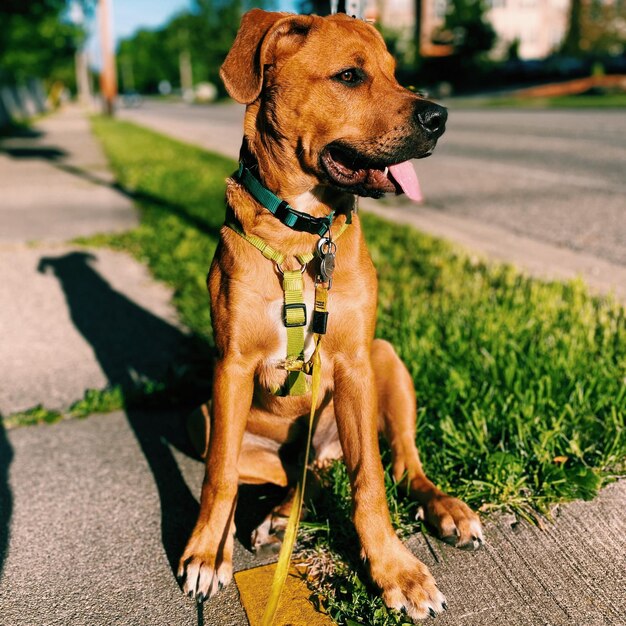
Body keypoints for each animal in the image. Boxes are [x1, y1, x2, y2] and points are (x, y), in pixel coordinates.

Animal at [178, 9, 480, 620]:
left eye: (395, 72)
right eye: (349, 76)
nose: (439, 117)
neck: (300, 231)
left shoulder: (354, 363)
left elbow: (370, 482)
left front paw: (395, 571)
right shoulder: (230, 368)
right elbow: (218, 476)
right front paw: (207, 550)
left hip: (386, 361)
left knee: (403, 463)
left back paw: (446, 509)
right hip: (208, 418)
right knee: (295, 477)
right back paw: (272, 516)